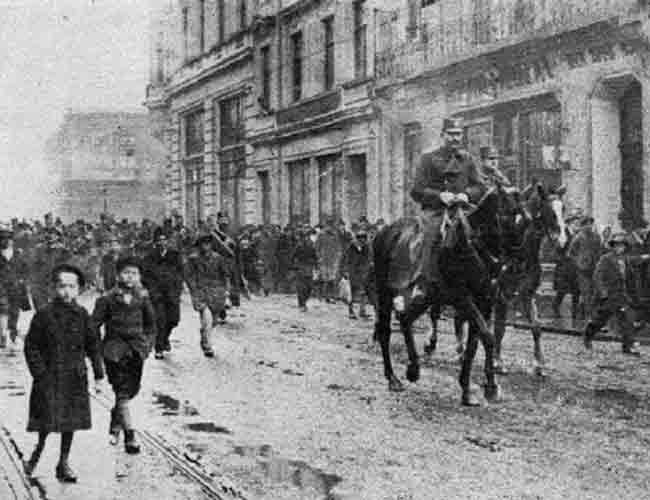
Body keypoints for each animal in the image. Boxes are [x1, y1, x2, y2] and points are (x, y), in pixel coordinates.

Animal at [370, 188, 502, 406]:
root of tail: (383, 232)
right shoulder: (462, 297)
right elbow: (487, 337)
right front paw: (490, 387)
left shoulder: (485, 302)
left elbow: (476, 343)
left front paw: (469, 391)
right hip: (385, 291)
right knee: (385, 330)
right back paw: (393, 378)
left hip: (426, 296)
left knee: (405, 319)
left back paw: (413, 368)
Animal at [422, 186, 564, 376]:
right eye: (550, 211)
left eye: (564, 209)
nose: (562, 242)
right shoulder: (500, 297)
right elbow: (499, 329)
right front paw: (498, 361)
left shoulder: (526, 295)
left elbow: (536, 327)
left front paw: (539, 364)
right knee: (435, 313)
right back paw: (431, 345)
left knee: (458, 317)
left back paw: (460, 351)